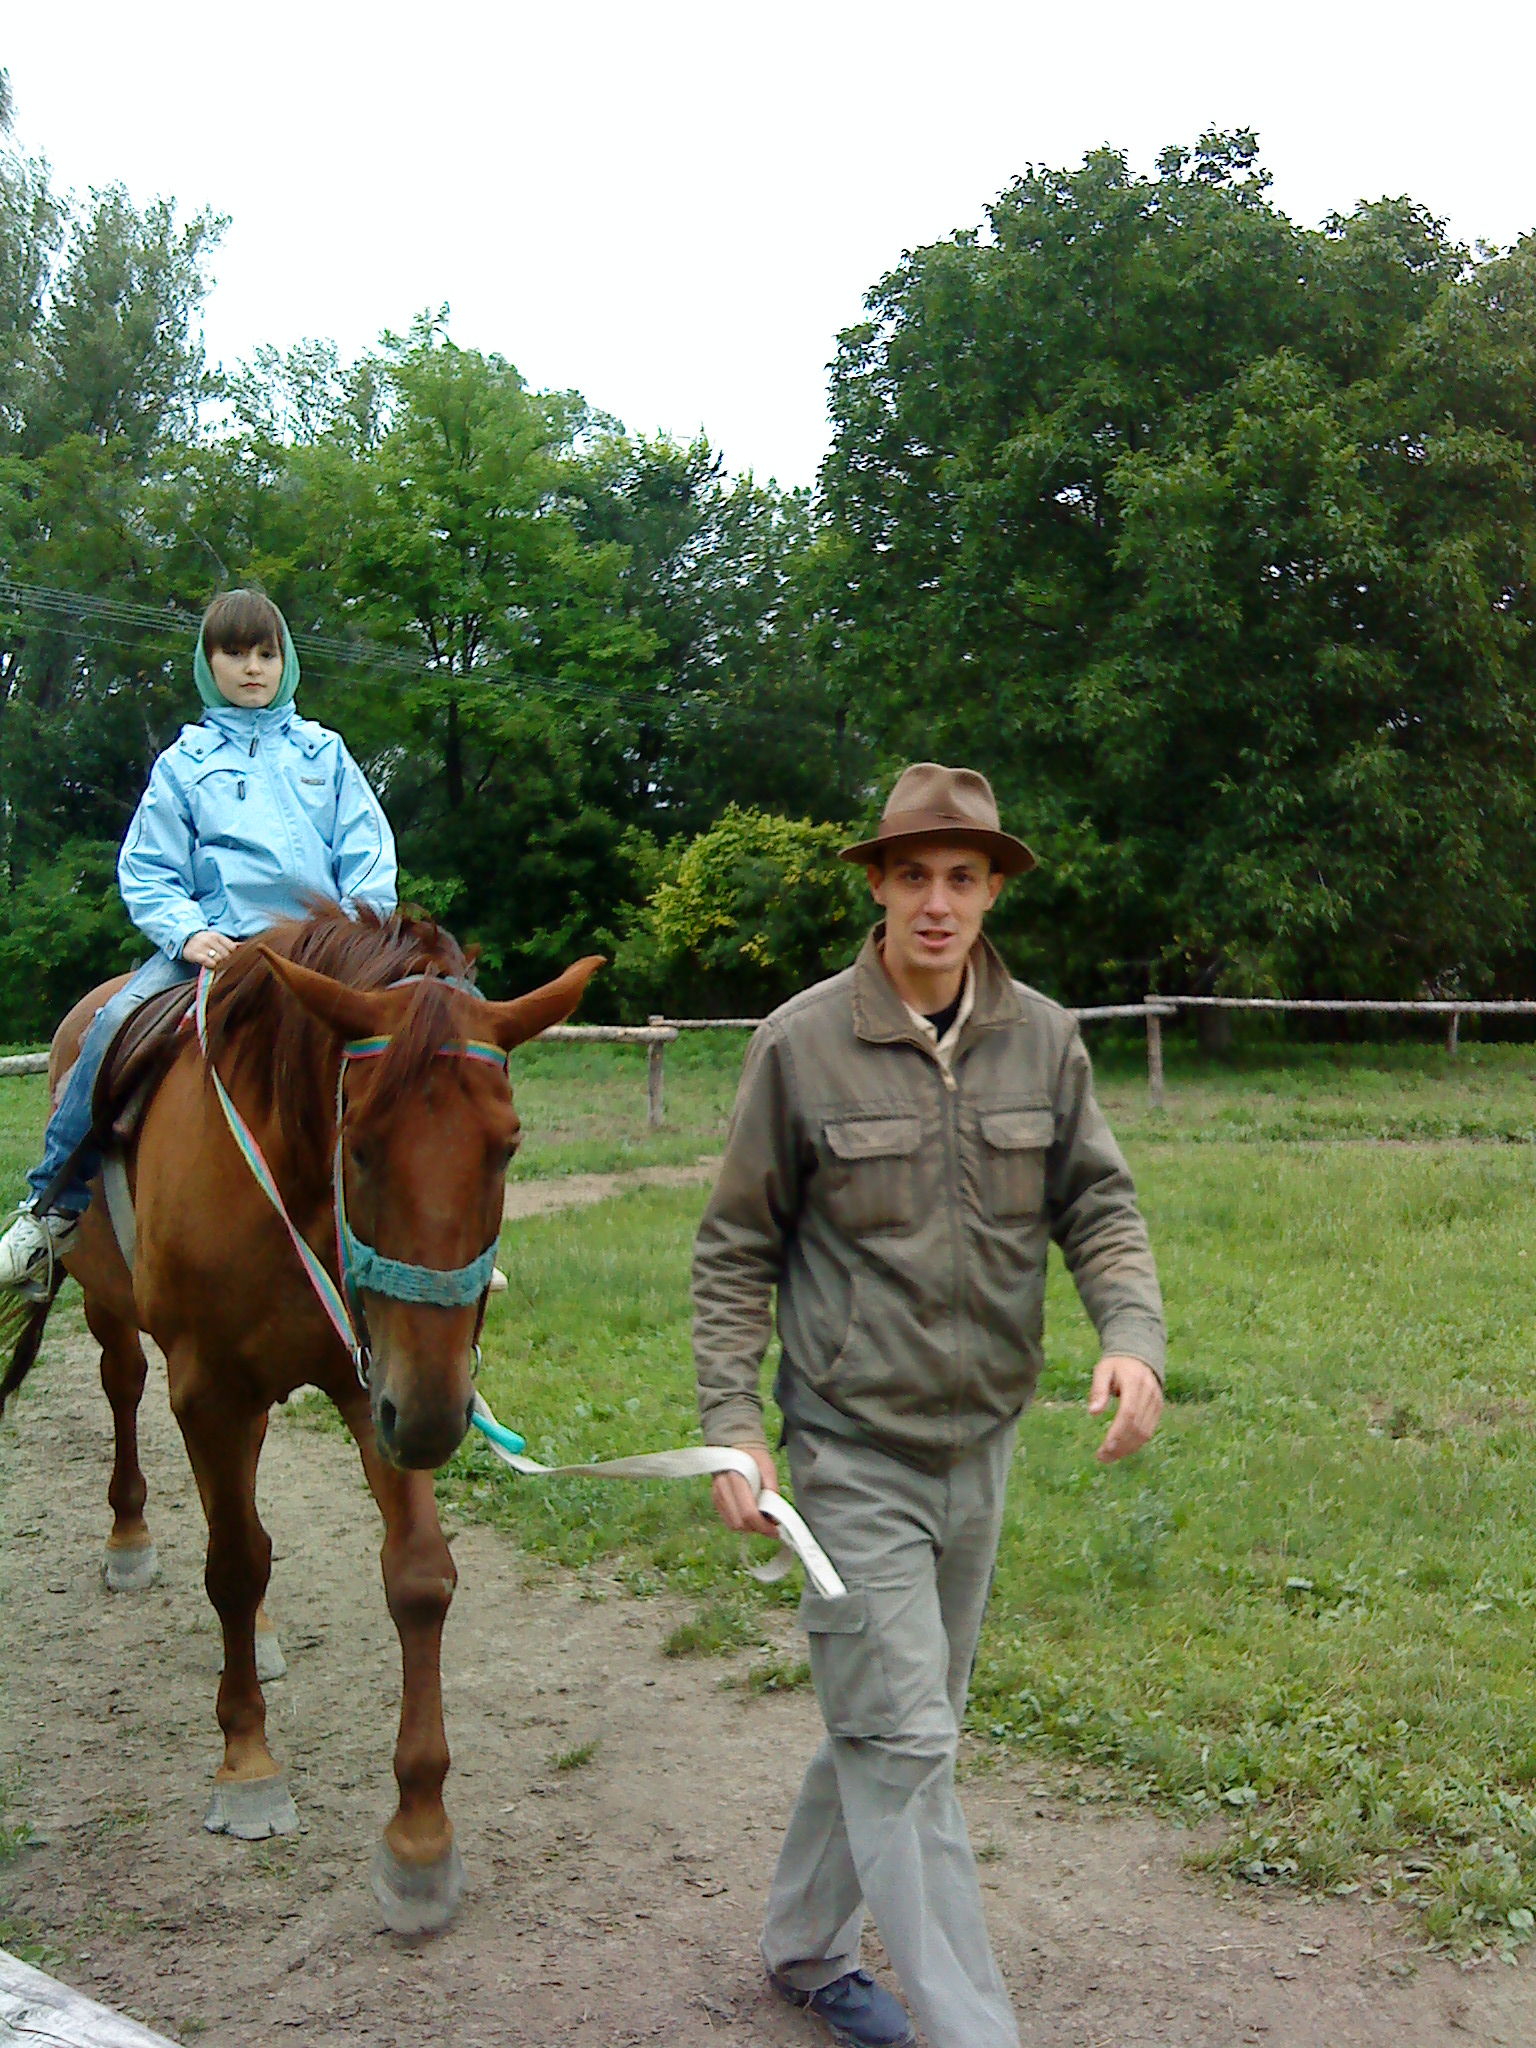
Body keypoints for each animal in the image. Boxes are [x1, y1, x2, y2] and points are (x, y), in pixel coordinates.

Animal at [0, 906, 601, 1932]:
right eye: (357, 1142)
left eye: (508, 1147)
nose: (437, 1418)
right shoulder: (213, 1388)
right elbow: (233, 1568)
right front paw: (247, 1771)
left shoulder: (376, 1380)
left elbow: (417, 1580)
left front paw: (419, 1839)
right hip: (118, 1314)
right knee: (125, 1392)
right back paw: (129, 1540)